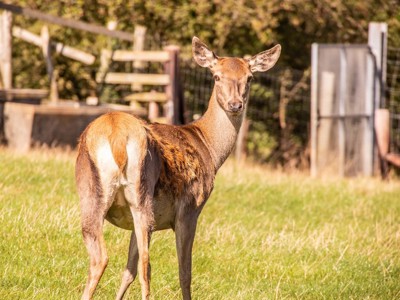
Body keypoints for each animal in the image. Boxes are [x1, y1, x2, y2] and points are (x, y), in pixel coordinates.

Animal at [76, 37, 282, 300]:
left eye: (249, 77)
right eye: (216, 76)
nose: (235, 104)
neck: (209, 148)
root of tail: (117, 136)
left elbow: (127, 270)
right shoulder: (191, 209)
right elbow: (185, 272)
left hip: (92, 193)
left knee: (102, 258)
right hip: (141, 194)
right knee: (144, 264)